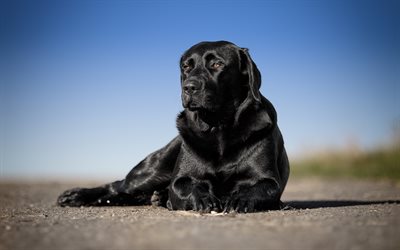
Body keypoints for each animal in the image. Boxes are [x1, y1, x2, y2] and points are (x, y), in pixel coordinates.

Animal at [57, 41, 288, 213]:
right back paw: (74, 196)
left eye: (217, 64)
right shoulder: (181, 179)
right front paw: (203, 198)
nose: (189, 87)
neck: (219, 128)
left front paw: (240, 199)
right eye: (186, 66)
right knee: (117, 185)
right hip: (151, 170)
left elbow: (259, 189)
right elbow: (186, 186)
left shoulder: (269, 181)